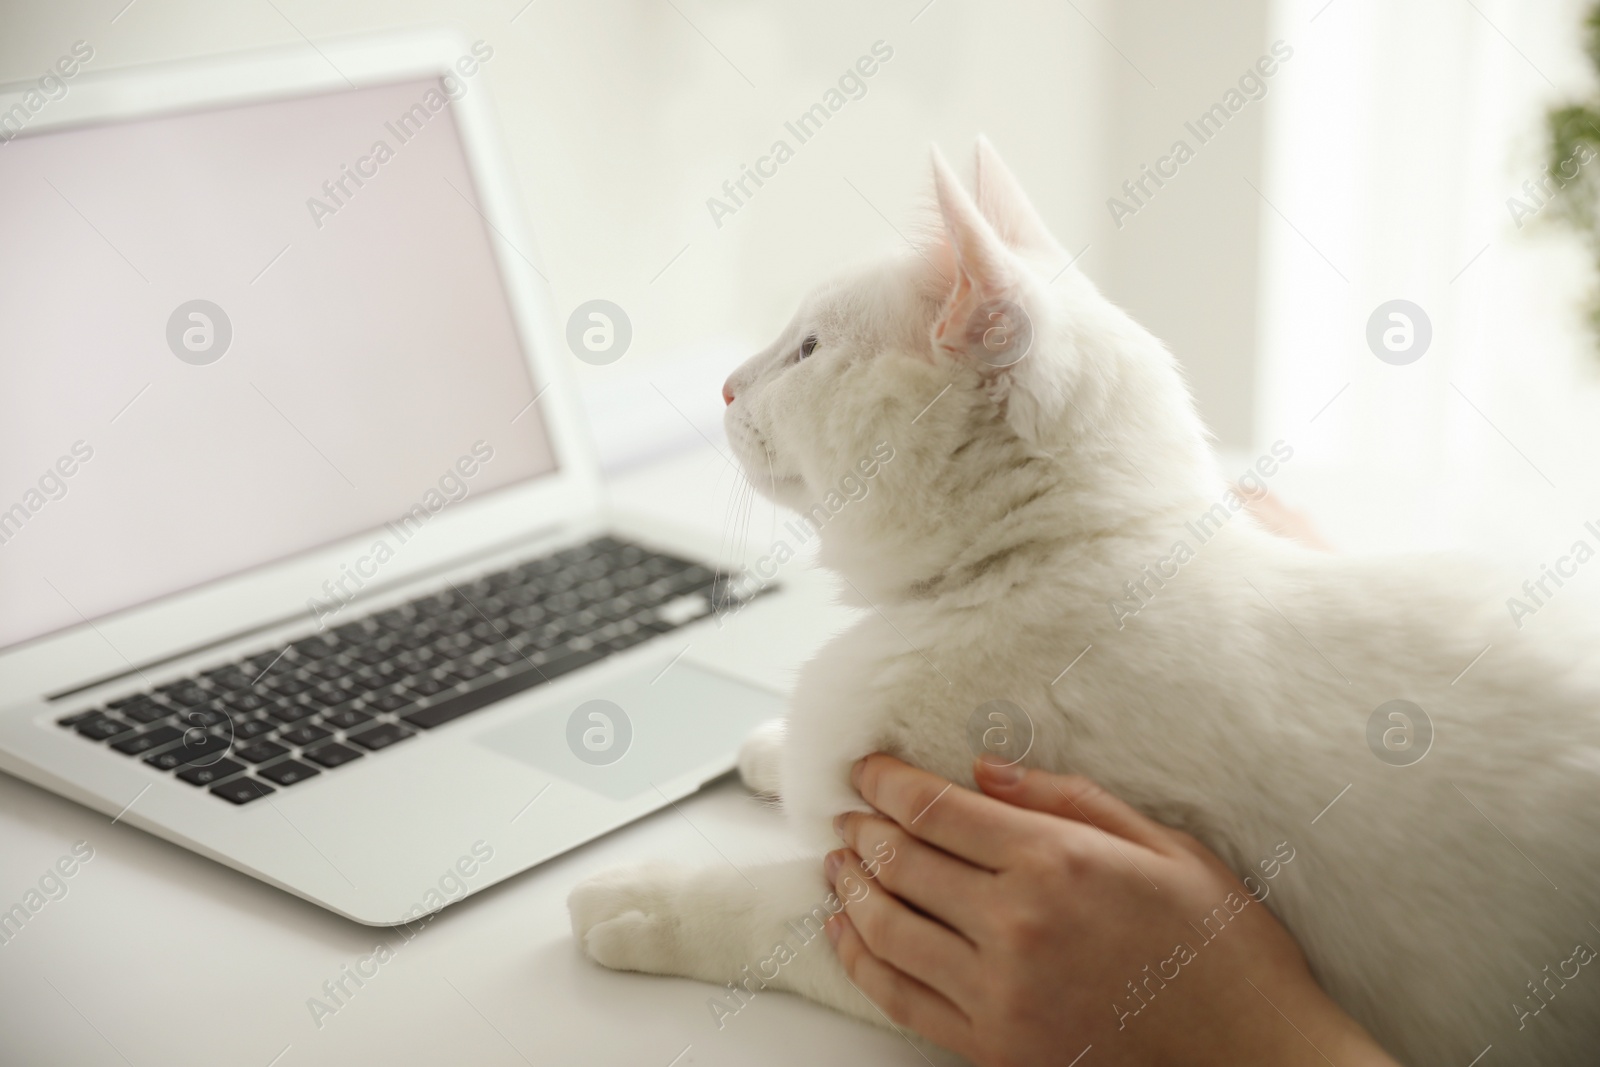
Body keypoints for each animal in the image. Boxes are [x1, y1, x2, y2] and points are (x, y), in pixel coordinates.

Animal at [572, 141, 1600, 1067]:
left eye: (810, 348)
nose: (725, 384)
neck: (1048, 558)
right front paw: (766, 745)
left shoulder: (914, 916)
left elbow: (770, 911)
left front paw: (641, 902)